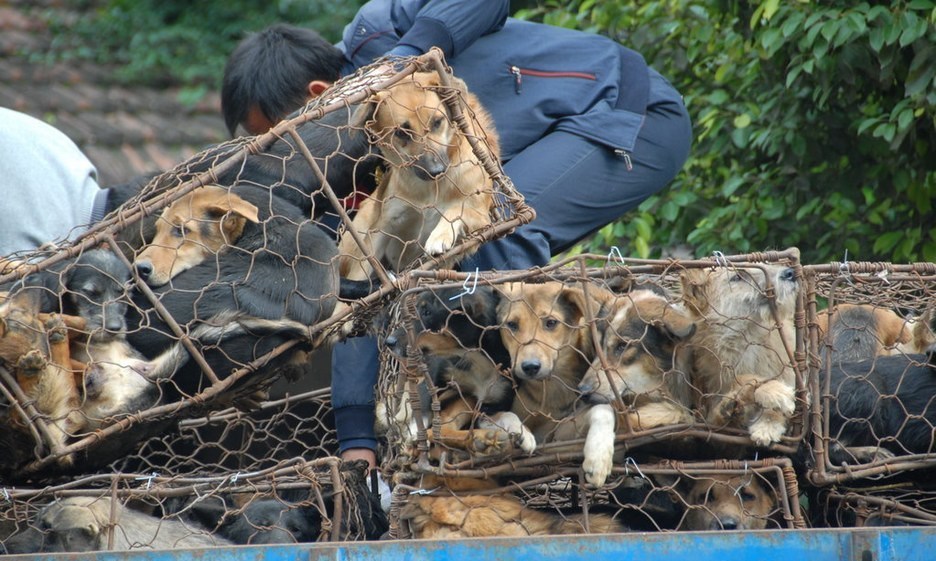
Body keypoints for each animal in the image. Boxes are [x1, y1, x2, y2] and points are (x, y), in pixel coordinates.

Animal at [676, 260, 800, 448]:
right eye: (737, 277)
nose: (790, 273)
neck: (748, 336)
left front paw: (768, 423)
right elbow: (742, 378)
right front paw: (773, 390)